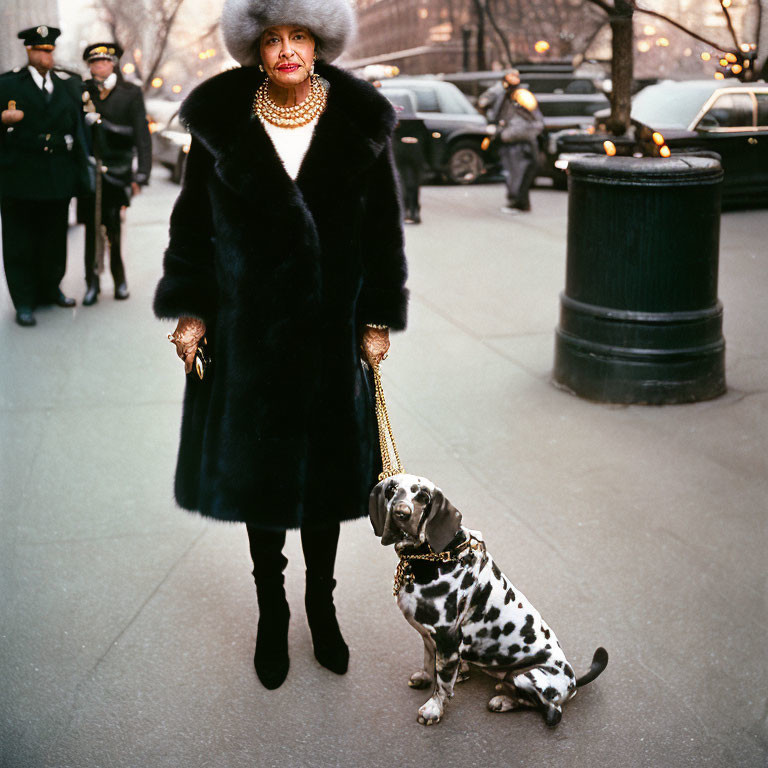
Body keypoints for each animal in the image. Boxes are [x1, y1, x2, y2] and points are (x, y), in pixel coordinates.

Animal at [368, 472, 608, 728]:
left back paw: (503, 700)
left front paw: (434, 708)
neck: (433, 557)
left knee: (551, 711)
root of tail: (573, 681)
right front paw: (426, 676)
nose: (401, 513)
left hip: (529, 676)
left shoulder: (447, 638)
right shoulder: (429, 636)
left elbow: (442, 683)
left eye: (423, 496)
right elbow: (428, 660)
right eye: (391, 490)